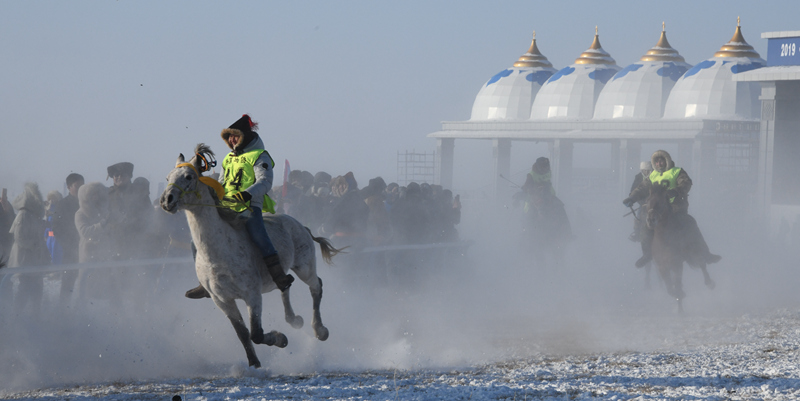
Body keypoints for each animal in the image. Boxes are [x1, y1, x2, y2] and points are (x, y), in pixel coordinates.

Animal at [159, 145, 340, 368]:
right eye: (168, 177)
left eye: (188, 176)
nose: (166, 200)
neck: (219, 254)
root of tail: (300, 225)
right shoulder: (222, 301)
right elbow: (243, 334)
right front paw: (254, 363)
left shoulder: (252, 295)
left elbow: (257, 334)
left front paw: (281, 339)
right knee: (285, 286)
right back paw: (294, 319)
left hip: (304, 267)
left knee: (316, 287)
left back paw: (320, 330)